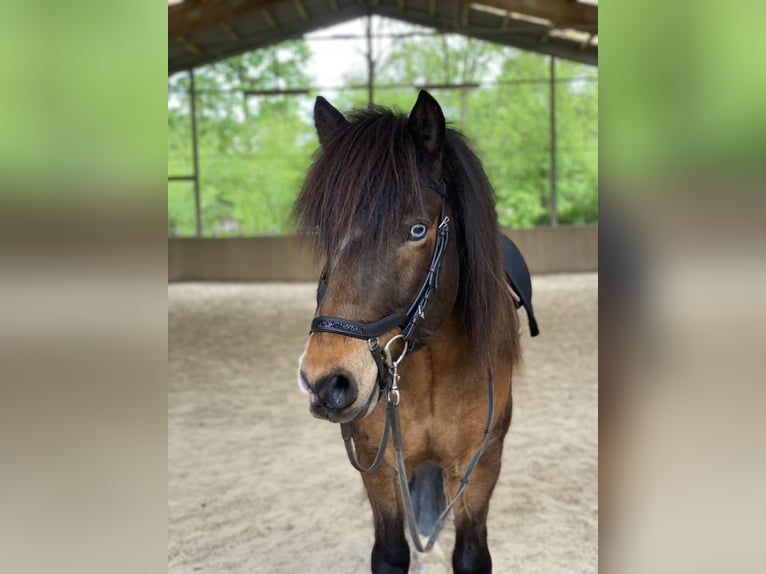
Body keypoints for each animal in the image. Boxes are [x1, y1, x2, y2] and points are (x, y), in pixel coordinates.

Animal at [294, 91, 528, 574]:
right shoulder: (378, 467)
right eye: (329, 230)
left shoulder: (479, 467)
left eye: (417, 229)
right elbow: (390, 551)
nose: (327, 381)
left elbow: (470, 555)